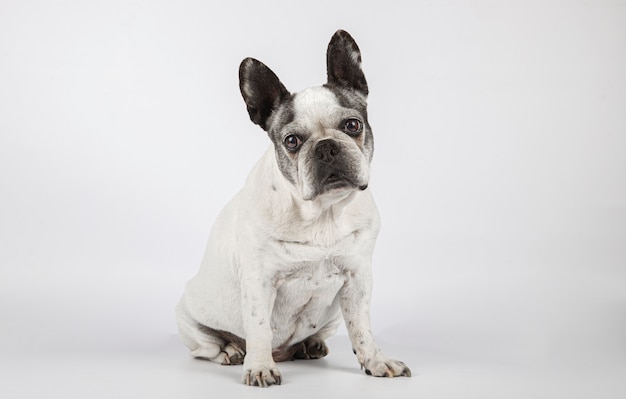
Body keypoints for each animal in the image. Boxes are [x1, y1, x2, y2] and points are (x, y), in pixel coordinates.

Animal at [176, 28, 410, 388]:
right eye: (291, 141)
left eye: (352, 125)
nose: (326, 147)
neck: (323, 213)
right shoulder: (259, 282)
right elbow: (259, 328)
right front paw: (260, 367)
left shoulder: (357, 279)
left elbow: (362, 328)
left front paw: (375, 360)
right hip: (187, 316)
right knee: (209, 346)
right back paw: (231, 351)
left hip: (331, 316)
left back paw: (310, 345)